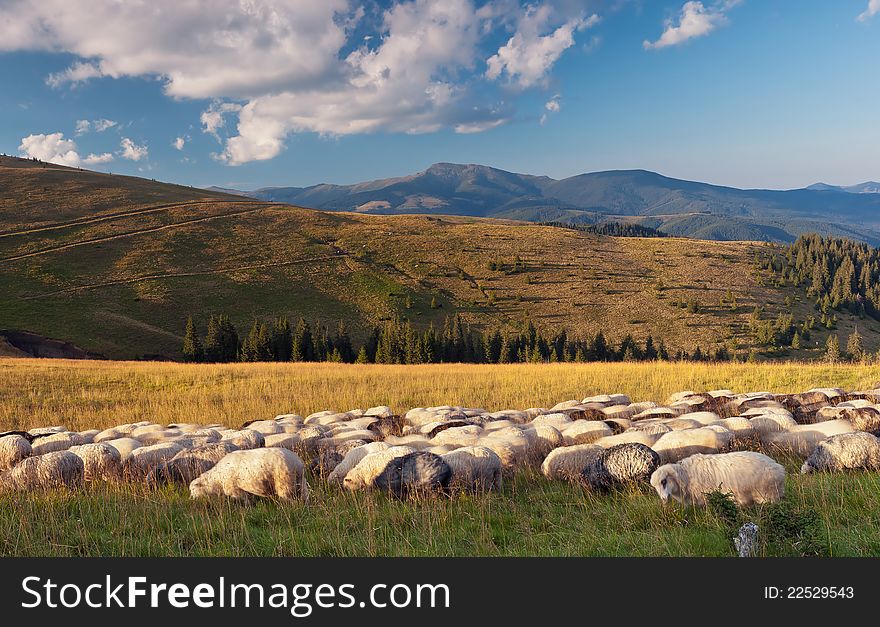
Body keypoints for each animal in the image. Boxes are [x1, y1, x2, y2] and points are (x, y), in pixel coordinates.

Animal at [648, 448, 788, 508]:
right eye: (655, 487)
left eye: (663, 481)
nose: (664, 499)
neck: (686, 475)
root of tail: (779, 468)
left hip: (768, 496)